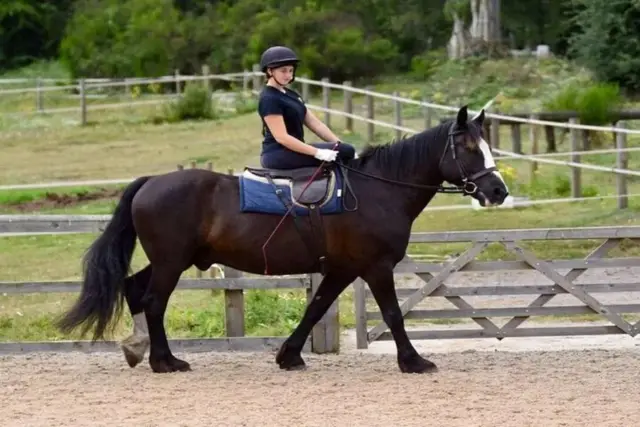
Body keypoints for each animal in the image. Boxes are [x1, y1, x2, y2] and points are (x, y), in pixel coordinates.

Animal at [56, 105, 508, 374]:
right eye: (469, 147)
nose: (498, 191)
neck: (379, 189)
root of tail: (152, 182)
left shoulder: (342, 269)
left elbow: (315, 308)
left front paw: (288, 356)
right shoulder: (376, 267)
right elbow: (394, 314)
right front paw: (413, 361)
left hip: (172, 259)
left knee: (135, 290)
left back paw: (138, 350)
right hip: (172, 261)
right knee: (152, 301)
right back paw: (165, 361)